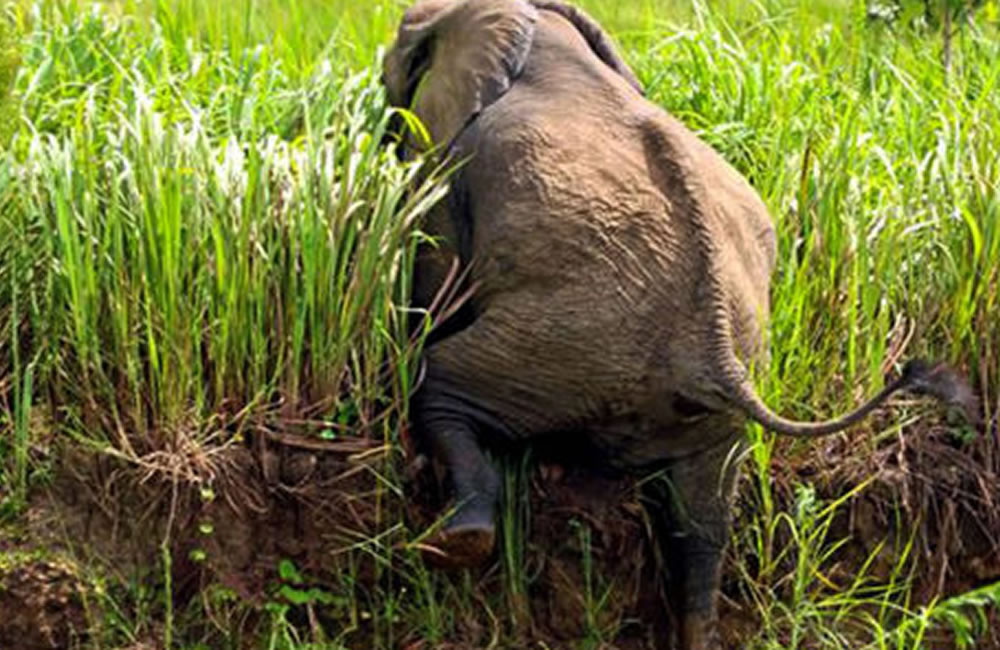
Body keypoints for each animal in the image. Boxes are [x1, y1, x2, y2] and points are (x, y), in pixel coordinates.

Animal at [378, 2, 972, 644]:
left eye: (396, 62)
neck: (535, 30)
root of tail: (714, 351)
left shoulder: (451, 163)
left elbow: (432, 283)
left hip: (568, 346)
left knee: (440, 382)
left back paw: (453, 543)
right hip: (699, 398)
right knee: (703, 523)